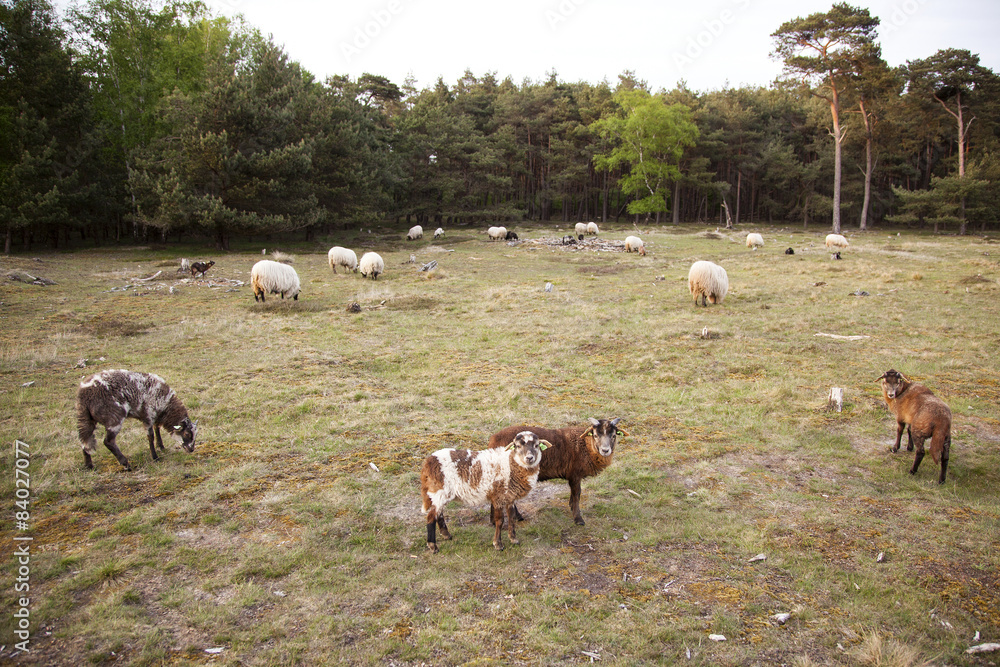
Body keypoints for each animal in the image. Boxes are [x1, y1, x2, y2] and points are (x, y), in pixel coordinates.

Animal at [420, 431, 550, 553]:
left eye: (537, 445)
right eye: (517, 446)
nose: (529, 458)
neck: (511, 464)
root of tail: (428, 461)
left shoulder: (510, 497)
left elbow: (511, 517)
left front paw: (513, 539)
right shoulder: (498, 497)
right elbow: (500, 521)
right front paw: (498, 544)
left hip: (442, 493)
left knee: (439, 514)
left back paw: (446, 535)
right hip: (438, 491)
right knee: (431, 517)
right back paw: (433, 546)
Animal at [488, 417, 625, 526]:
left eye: (613, 435)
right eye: (595, 435)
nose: (605, 450)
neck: (585, 445)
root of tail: (492, 440)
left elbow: (575, 494)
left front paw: (571, 507)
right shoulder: (575, 474)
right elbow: (577, 495)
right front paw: (578, 519)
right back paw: (502, 520)